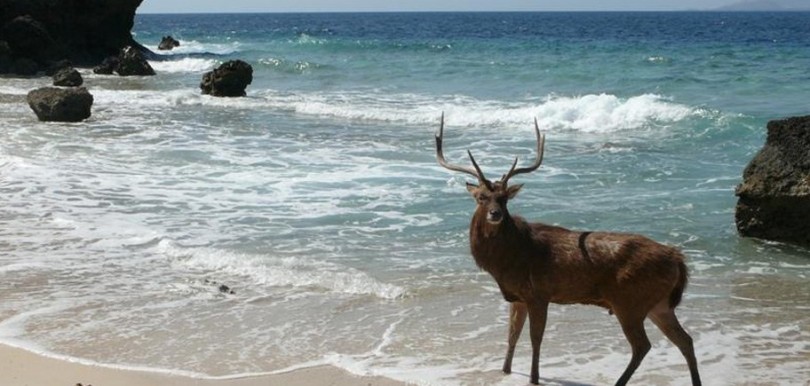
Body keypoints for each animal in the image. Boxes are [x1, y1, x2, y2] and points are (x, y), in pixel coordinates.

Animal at [432, 113, 696, 384]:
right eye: (481, 197)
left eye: (504, 198)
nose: (495, 214)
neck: (508, 261)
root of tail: (678, 259)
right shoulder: (517, 296)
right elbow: (512, 335)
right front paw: (504, 371)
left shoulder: (539, 293)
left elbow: (535, 338)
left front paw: (534, 377)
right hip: (658, 303)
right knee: (684, 340)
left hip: (630, 300)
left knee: (643, 345)